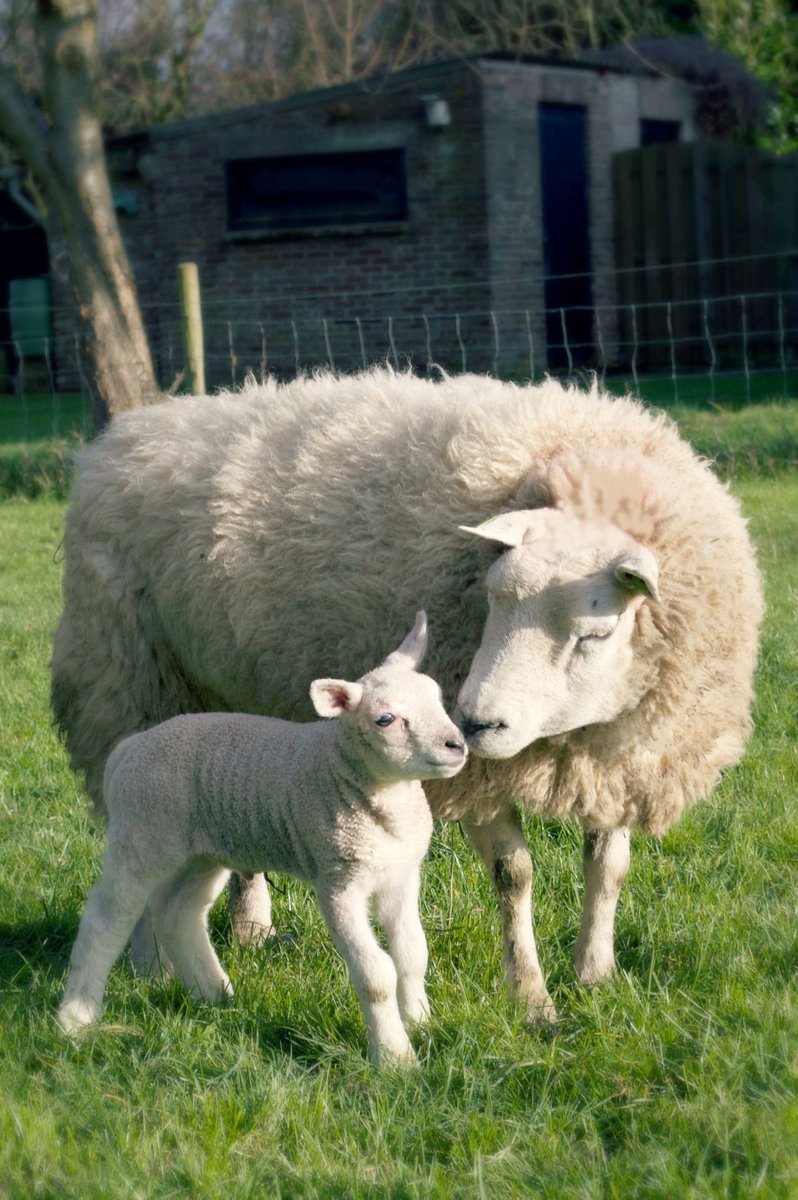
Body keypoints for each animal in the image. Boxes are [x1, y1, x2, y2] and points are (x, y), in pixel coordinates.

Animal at [57, 611, 467, 1065]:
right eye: (385, 719)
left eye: (437, 698)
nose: (456, 745)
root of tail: (127, 750)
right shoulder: (338, 881)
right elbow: (377, 972)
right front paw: (395, 1056)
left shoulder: (400, 875)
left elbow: (413, 954)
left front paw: (421, 1021)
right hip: (141, 833)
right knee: (106, 918)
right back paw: (76, 1019)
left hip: (202, 850)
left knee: (178, 910)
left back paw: (213, 993)